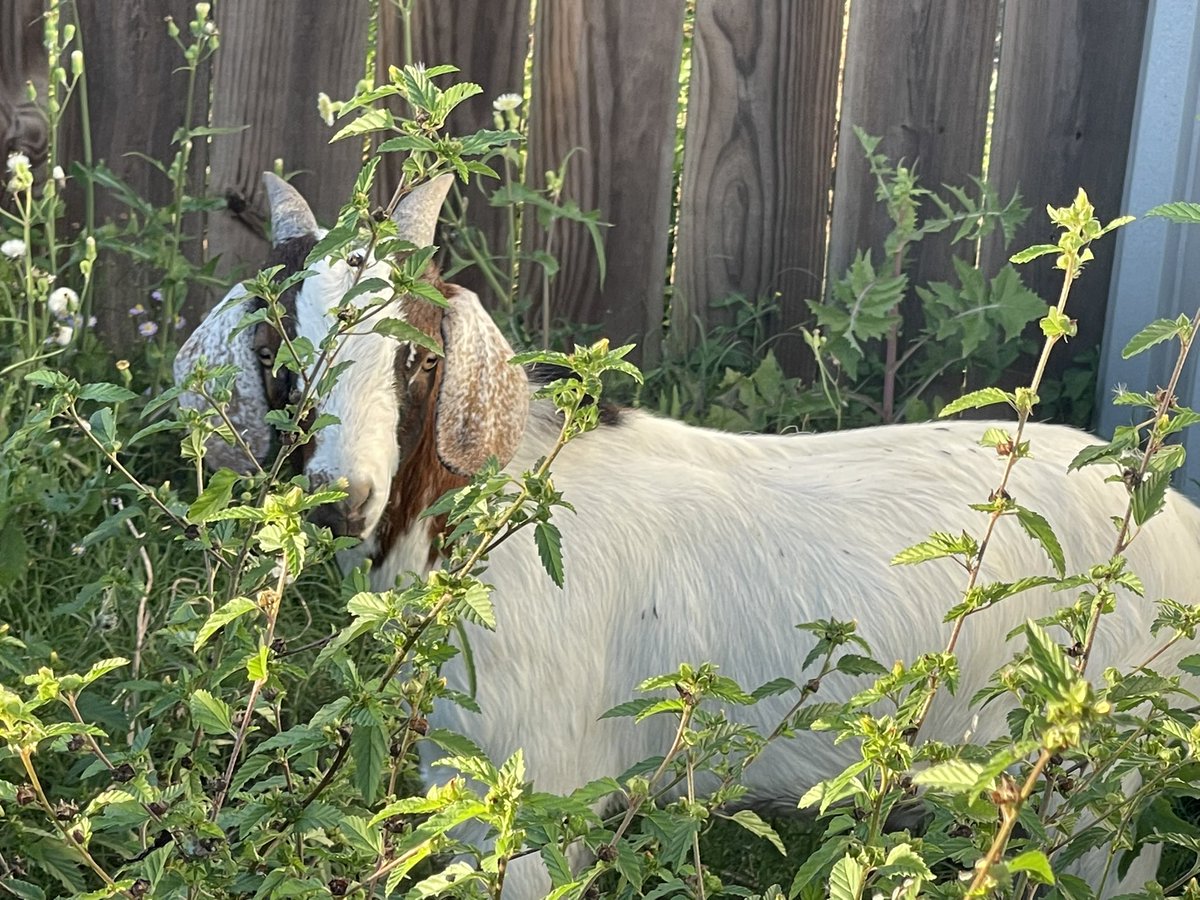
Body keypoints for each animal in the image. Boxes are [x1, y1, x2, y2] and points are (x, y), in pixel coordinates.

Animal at [175, 173, 1200, 897]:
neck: (493, 515)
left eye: (419, 358)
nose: (338, 497)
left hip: (1101, 788)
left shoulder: (538, 793)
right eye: (274, 351)